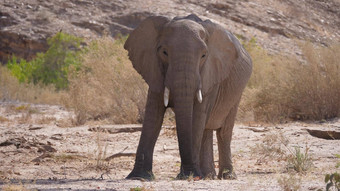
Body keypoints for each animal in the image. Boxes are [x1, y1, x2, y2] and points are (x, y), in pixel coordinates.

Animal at [123, 14, 251, 180]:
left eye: (204, 55)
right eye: (164, 52)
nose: (189, 172)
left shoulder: (210, 74)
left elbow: (196, 117)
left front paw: (188, 175)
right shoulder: (154, 70)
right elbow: (153, 117)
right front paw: (139, 177)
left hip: (237, 91)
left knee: (223, 131)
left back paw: (225, 176)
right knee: (206, 130)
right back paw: (208, 176)